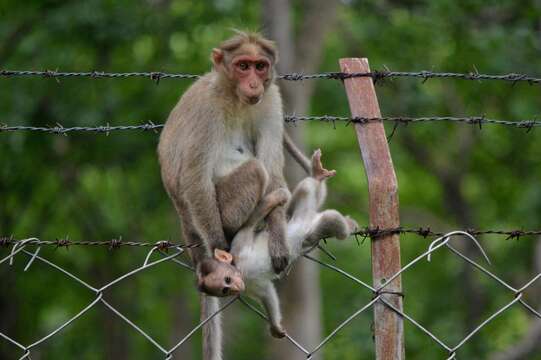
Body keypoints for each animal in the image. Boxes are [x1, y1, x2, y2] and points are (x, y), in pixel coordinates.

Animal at [157, 31, 308, 360]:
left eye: (260, 66)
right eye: (242, 66)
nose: (253, 83)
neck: (235, 99)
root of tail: (184, 219)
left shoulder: (271, 100)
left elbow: (273, 166)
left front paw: (279, 240)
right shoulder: (208, 109)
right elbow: (195, 175)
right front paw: (220, 249)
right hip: (218, 208)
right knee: (253, 171)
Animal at [200, 150, 356, 338]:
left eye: (227, 279)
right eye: (224, 289)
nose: (235, 288)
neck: (241, 270)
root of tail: (307, 218)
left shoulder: (239, 247)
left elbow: (249, 225)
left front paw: (276, 197)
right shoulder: (250, 286)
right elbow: (267, 293)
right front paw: (275, 327)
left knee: (333, 221)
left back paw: (347, 224)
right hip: (306, 220)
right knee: (307, 190)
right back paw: (317, 178)